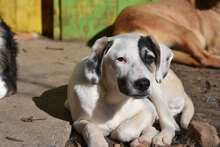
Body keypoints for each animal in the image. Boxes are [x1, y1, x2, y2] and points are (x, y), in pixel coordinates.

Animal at [64, 34, 193, 146]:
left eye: (150, 58)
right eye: (120, 59)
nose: (143, 84)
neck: (112, 99)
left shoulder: (149, 108)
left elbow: (124, 130)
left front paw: (117, 132)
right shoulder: (79, 121)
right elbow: (91, 128)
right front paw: (98, 142)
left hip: (156, 90)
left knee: (171, 124)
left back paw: (161, 137)